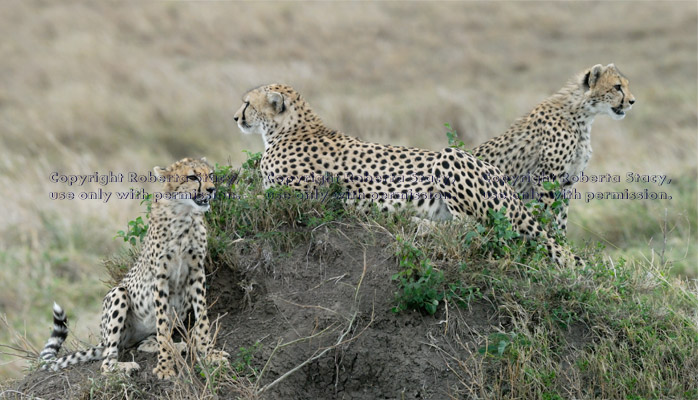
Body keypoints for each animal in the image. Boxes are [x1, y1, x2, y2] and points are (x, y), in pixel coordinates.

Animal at [38, 157, 226, 378]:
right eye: (192, 177)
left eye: (211, 175)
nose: (212, 189)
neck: (184, 213)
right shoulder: (159, 278)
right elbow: (162, 325)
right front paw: (165, 367)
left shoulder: (196, 272)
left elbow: (202, 317)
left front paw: (209, 353)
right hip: (118, 295)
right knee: (107, 361)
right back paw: (126, 366)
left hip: (180, 300)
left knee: (144, 344)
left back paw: (178, 345)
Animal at [231, 84, 580, 266]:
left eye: (247, 103)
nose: (235, 117)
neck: (291, 128)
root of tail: (502, 181)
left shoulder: (297, 195)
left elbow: (248, 196)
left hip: (449, 158)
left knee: (481, 231)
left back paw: (417, 223)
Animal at [474, 62, 632, 233]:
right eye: (617, 87)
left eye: (626, 85)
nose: (632, 101)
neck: (582, 116)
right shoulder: (545, 178)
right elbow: (548, 215)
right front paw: (549, 237)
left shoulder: (567, 182)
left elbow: (561, 217)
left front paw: (561, 238)